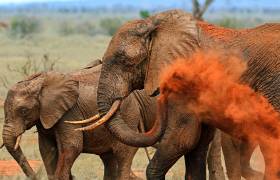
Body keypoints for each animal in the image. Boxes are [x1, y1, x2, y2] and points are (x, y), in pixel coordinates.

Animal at [1, 62, 155, 180]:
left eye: (23, 111)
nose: (35, 176)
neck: (38, 83)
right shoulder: (44, 116)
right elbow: (47, 149)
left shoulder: (69, 112)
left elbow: (72, 146)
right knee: (108, 158)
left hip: (128, 115)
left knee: (123, 154)